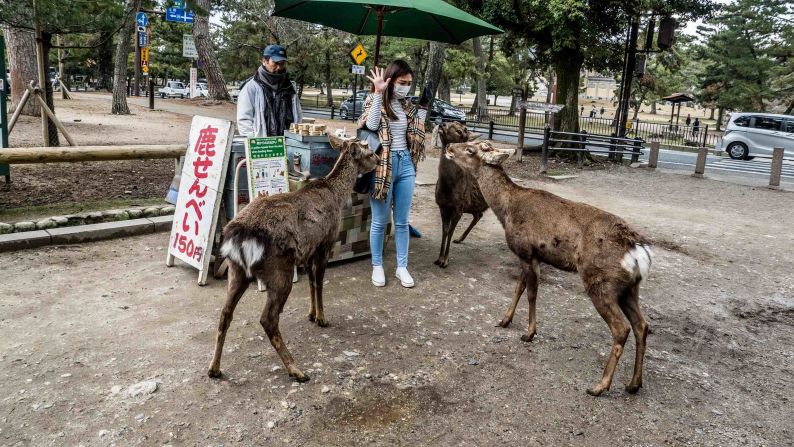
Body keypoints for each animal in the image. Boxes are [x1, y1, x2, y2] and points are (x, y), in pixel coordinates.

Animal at [207, 136, 380, 382]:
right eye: (369, 152)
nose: (379, 160)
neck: (337, 196)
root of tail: (239, 234)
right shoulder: (326, 242)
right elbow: (319, 283)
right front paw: (321, 318)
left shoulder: (308, 250)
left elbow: (311, 282)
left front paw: (311, 314)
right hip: (279, 270)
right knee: (267, 319)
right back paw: (296, 369)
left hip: (236, 270)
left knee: (224, 313)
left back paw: (214, 368)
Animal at [430, 121, 486, 268]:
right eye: (450, 122)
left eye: (461, 131)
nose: (443, 123)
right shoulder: (443, 207)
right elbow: (444, 231)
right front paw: (439, 258)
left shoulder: (458, 208)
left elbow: (450, 231)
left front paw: (445, 260)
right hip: (471, 205)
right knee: (479, 214)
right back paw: (460, 239)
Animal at [442, 142, 652, 398]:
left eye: (472, 149)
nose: (449, 147)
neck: (506, 210)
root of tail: (638, 251)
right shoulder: (530, 255)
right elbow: (519, 288)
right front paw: (505, 320)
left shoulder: (526, 251)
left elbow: (531, 293)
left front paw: (529, 332)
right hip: (630, 288)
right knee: (641, 325)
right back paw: (634, 384)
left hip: (600, 280)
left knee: (621, 328)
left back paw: (600, 385)